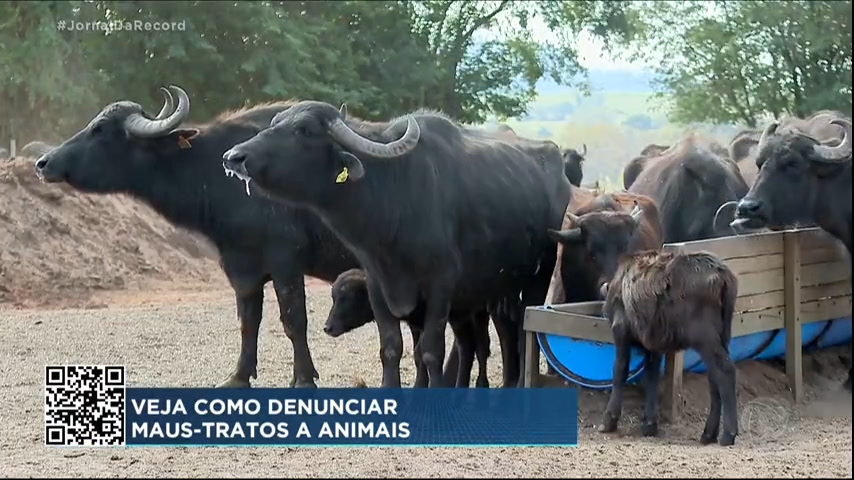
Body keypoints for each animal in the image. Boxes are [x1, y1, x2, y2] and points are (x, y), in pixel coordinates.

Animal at [33, 84, 366, 388]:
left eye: (99, 129)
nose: (43, 163)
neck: (215, 174)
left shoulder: (285, 261)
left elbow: (294, 320)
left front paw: (304, 379)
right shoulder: (240, 267)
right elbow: (249, 321)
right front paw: (238, 376)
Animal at [221, 100, 572, 386]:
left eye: (304, 130)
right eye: (275, 122)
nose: (234, 157)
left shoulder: (441, 285)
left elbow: (431, 349)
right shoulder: (378, 285)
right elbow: (391, 347)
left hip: (538, 276)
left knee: (524, 330)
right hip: (497, 288)